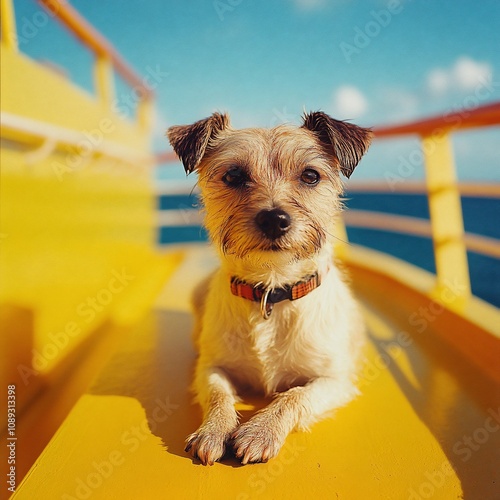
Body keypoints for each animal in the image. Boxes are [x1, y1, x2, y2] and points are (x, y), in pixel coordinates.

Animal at [167, 111, 372, 466]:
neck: (271, 289)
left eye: (310, 175)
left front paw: (260, 430)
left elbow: (294, 396)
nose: (274, 219)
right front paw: (213, 430)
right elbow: (219, 394)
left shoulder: (334, 380)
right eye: (234, 175)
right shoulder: (212, 367)